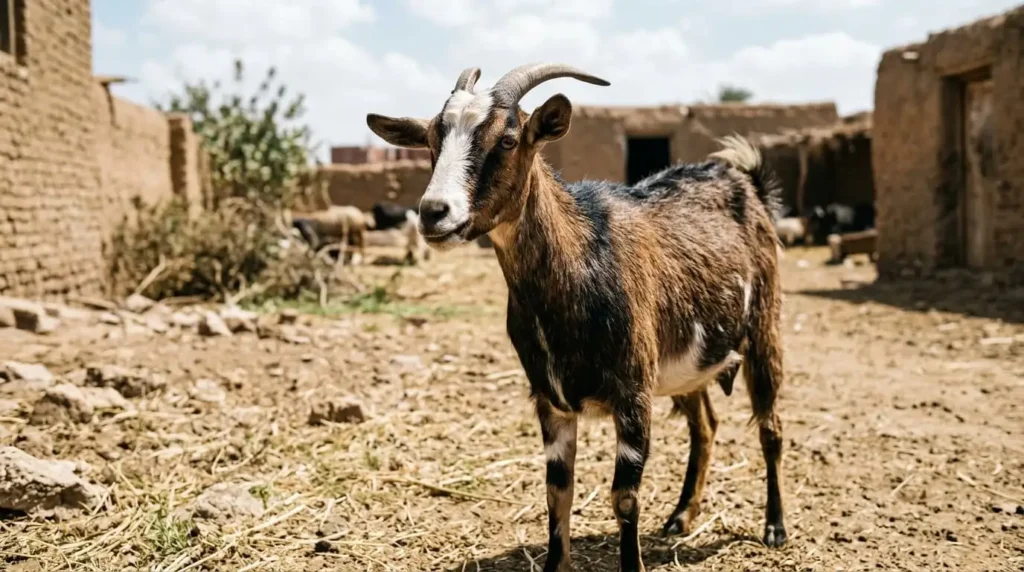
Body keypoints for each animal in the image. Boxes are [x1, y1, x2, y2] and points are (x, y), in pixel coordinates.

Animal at [367, 63, 788, 572]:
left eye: (508, 139)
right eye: (432, 138)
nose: (433, 214)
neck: (581, 262)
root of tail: (747, 181)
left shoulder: (633, 393)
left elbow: (624, 497)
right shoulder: (550, 399)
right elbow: (557, 492)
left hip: (764, 326)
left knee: (770, 429)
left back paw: (775, 528)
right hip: (686, 364)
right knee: (705, 426)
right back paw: (681, 517)